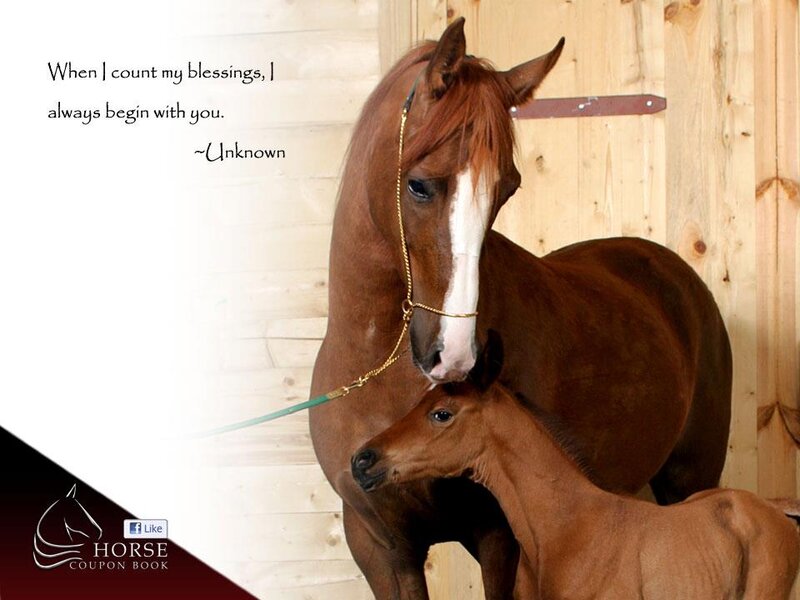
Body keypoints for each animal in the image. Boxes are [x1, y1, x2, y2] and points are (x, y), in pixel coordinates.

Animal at [309, 17, 732, 599]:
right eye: (417, 184)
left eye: (507, 189)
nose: (454, 356)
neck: (377, 374)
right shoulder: (380, 550)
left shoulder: (499, 539)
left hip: (691, 477)